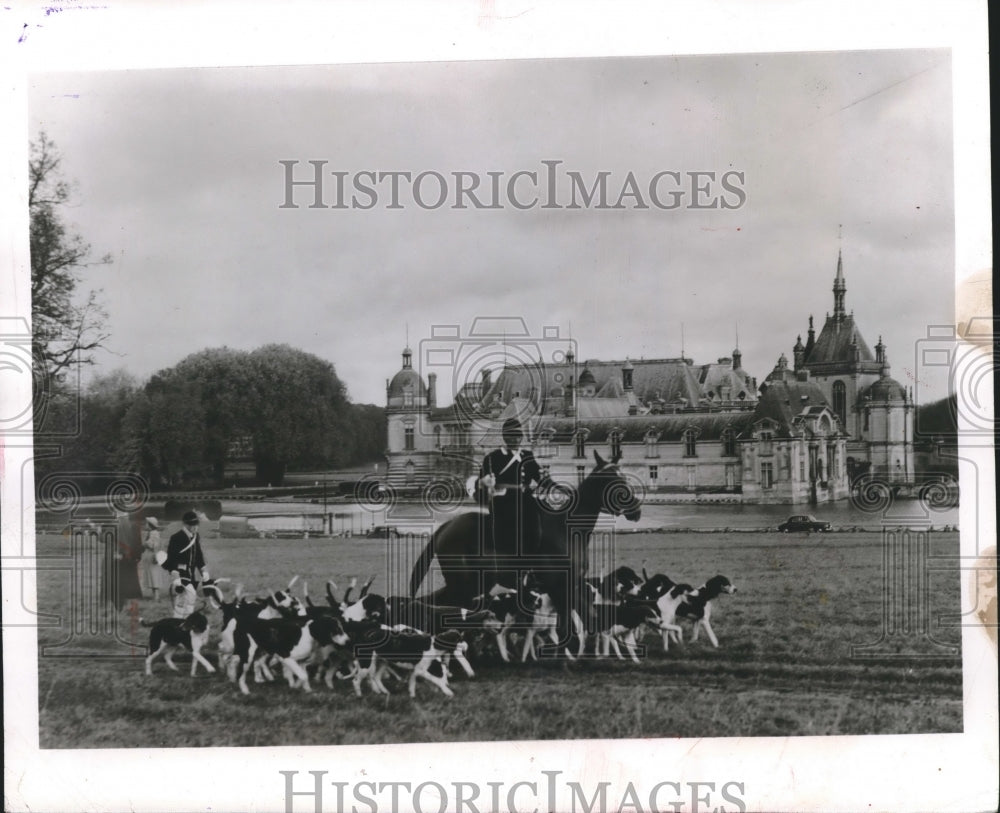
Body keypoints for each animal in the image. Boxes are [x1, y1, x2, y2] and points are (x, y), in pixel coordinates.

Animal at [410, 448, 644, 620]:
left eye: (623, 476)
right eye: (611, 479)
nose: (636, 510)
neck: (567, 531)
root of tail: (447, 526)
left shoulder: (573, 587)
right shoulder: (560, 588)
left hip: (476, 583)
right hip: (464, 584)